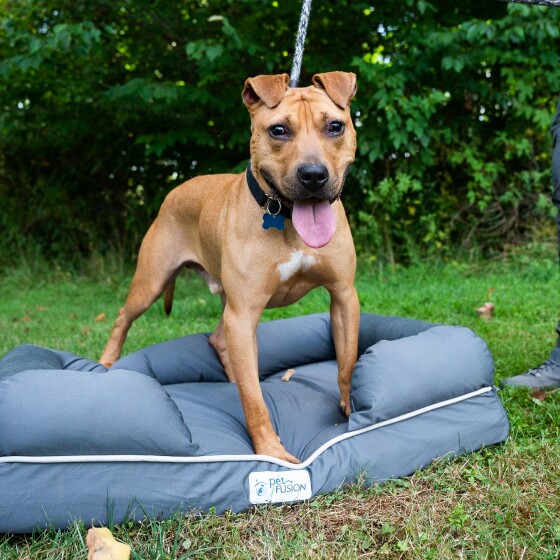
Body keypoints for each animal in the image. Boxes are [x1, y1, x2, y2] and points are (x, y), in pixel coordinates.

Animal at [100, 71, 360, 464]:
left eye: (335, 126)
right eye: (278, 130)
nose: (313, 175)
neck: (286, 219)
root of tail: (177, 190)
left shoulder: (344, 296)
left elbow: (346, 362)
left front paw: (349, 412)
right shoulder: (245, 313)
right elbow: (254, 400)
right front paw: (270, 451)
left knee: (221, 342)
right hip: (152, 282)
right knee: (122, 318)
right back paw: (105, 363)